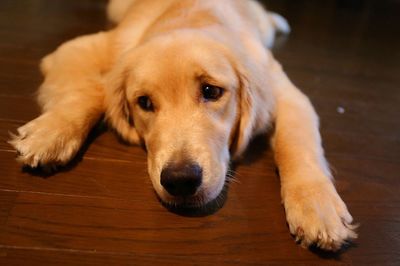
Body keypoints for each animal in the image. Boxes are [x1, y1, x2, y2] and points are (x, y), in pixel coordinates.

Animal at [8, 0, 356, 251]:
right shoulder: (79, 49)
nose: (180, 180)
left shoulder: (285, 91)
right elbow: (95, 89)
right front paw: (50, 133)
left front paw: (317, 207)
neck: (193, 15)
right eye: (144, 102)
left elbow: (296, 143)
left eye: (211, 91)